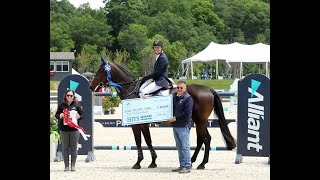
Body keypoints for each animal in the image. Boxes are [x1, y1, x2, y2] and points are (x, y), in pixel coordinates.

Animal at [89, 57, 236, 169]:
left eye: (101, 70)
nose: (91, 86)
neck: (130, 88)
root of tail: (209, 89)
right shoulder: (144, 124)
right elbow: (148, 140)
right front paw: (153, 162)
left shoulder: (136, 124)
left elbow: (139, 141)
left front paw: (138, 163)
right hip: (198, 121)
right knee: (201, 139)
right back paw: (193, 161)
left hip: (200, 121)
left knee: (206, 139)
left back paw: (202, 164)